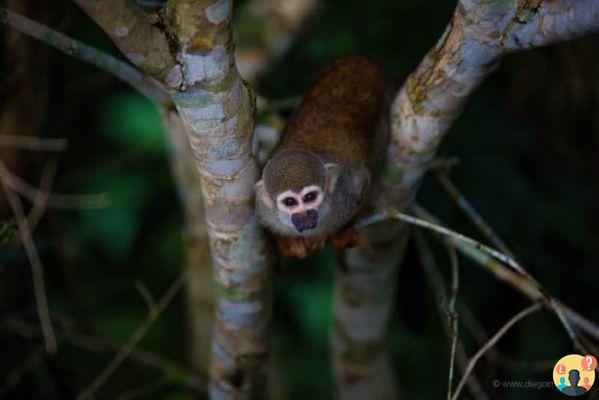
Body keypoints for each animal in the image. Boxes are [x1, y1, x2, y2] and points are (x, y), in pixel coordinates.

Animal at [255, 54, 392, 258]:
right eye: (290, 202)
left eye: (310, 197)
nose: (305, 215)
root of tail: (358, 62)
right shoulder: (264, 212)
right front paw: (287, 242)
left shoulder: (347, 191)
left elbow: (365, 181)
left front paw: (339, 233)